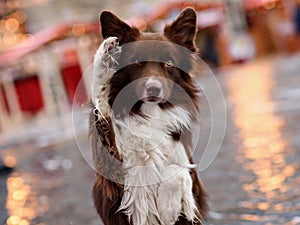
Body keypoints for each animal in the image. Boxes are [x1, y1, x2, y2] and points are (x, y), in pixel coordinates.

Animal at [89, 7, 209, 225]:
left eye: (169, 63)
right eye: (136, 62)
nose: (153, 88)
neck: (151, 113)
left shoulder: (188, 168)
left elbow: (180, 170)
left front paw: (168, 209)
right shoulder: (112, 169)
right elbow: (101, 100)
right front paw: (106, 57)